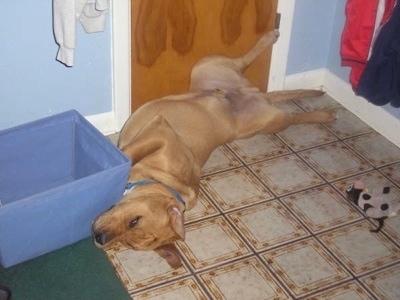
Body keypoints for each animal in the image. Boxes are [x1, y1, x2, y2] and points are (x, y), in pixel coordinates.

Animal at [92, 30, 336, 268]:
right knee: (242, 61)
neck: (160, 181)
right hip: (207, 67)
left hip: (271, 122)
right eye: (129, 240)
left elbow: (129, 153)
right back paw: (270, 37)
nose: (99, 238)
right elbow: (130, 152)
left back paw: (324, 114)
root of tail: (257, 94)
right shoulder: (159, 132)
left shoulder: (161, 130)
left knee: (294, 117)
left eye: (133, 225)